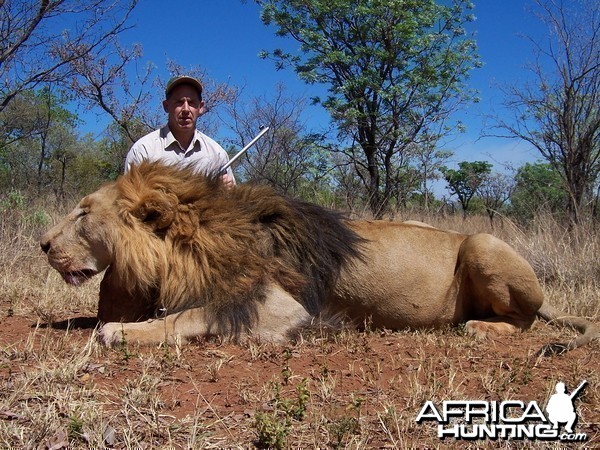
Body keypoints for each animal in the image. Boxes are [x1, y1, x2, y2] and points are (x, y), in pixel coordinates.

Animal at [39, 162, 596, 356]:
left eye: (83, 212)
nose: (43, 244)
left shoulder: (281, 308)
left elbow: (190, 316)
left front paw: (120, 331)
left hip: (482, 242)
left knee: (525, 321)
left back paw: (481, 328)